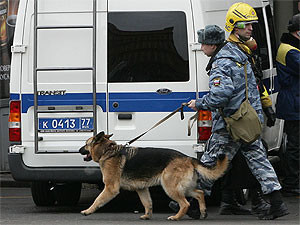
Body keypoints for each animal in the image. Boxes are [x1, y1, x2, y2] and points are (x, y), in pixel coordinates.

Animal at [79, 131, 227, 221]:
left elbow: (97, 200)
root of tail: (188, 158)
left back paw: (176, 217)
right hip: (184, 187)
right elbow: (147, 203)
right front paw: (147, 215)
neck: (107, 151)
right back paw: (203, 212)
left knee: (185, 203)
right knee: (200, 193)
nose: (79, 150)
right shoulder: (141, 189)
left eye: (86, 144)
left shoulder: (110, 188)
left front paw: (88, 211)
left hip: (170, 187)